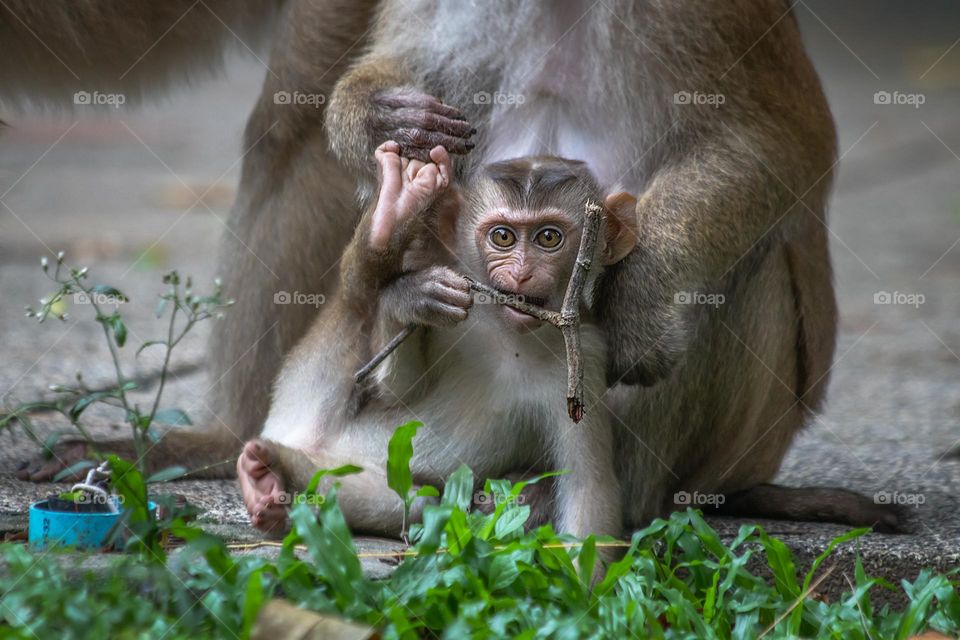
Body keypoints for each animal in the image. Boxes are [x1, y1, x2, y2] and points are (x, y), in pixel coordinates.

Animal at [239, 141, 636, 540]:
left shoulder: (588, 353)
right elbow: (399, 391)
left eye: (549, 237)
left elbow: (587, 486)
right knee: (354, 309)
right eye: (503, 237)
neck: (513, 337)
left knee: (414, 502)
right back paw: (384, 228)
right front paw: (409, 300)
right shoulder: (456, 303)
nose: (522, 273)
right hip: (298, 403)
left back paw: (273, 481)